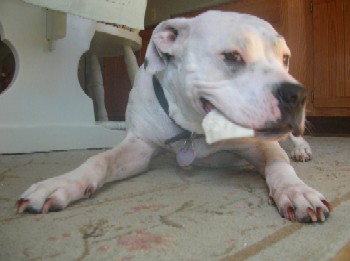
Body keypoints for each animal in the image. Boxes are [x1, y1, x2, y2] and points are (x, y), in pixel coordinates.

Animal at [17, 10, 330, 221]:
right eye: (232, 56)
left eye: (285, 58)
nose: (296, 94)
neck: (194, 128)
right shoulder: (139, 147)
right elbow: (99, 160)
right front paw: (60, 183)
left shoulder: (260, 144)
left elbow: (279, 164)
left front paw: (297, 191)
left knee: (292, 140)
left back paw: (301, 149)